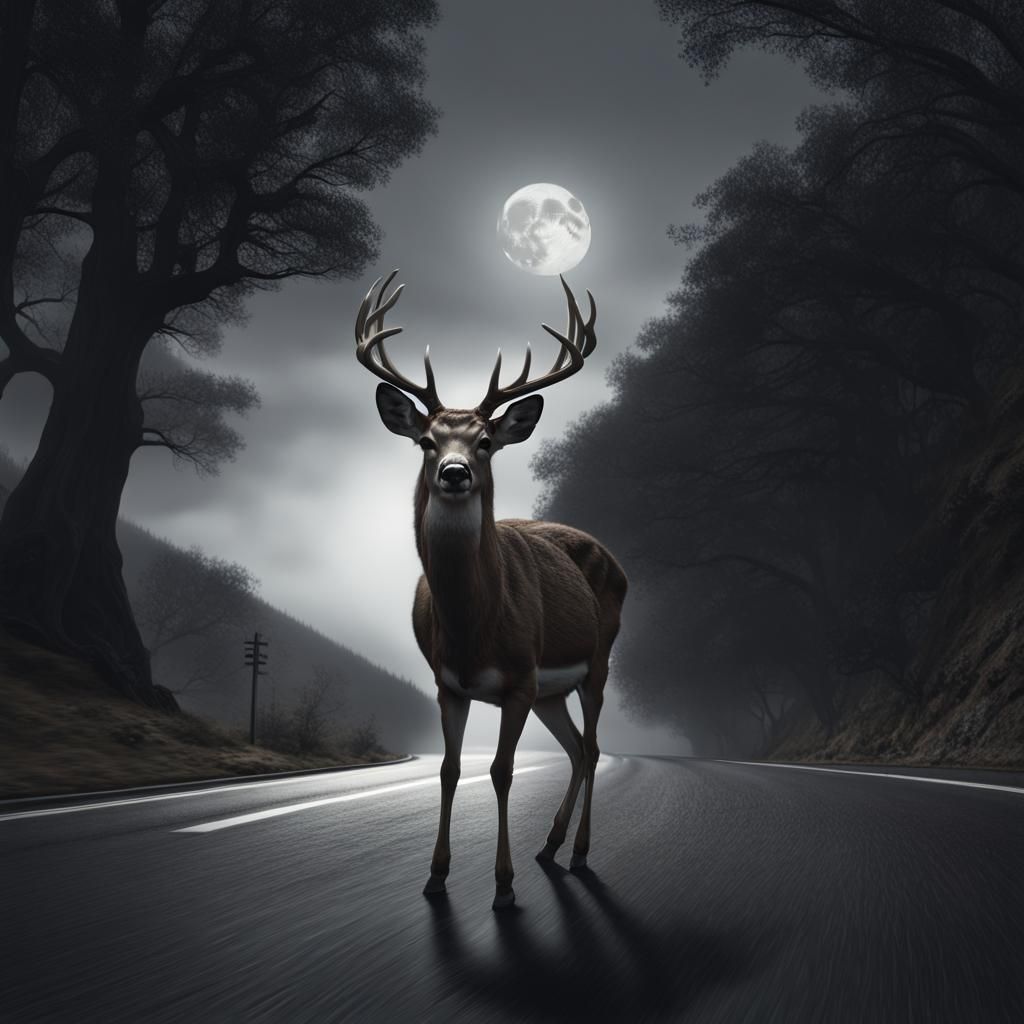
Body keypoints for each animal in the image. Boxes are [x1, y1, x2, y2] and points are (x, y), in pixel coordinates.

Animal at [353, 271, 627, 909]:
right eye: (427, 440)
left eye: (485, 441)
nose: (454, 473)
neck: (474, 629)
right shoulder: (448, 684)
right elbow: (451, 770)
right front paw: (435, 876)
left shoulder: (519, 677)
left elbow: (501, 771)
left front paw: (503, 886)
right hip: (552, 691)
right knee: (575, 748)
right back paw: (549, 846)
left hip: (597, 660)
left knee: (594, 746)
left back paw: (578, 852)